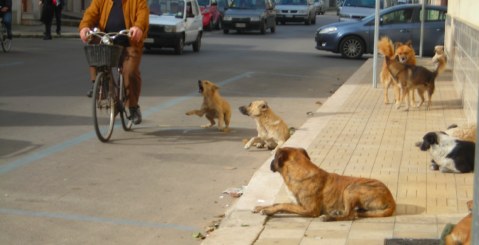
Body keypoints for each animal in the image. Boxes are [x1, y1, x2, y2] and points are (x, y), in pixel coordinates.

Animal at [255, 147, 398, 220]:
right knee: (355, 213)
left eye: (274, 157)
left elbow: (283, 205)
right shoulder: (299, 204)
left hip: (351, 188)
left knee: (350, 215)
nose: (270, 164)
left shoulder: (310, 209)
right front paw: (261, 207)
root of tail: (391, 201)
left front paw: (267, 210)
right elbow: (278, 203)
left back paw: (329, 217)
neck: (300, 171)